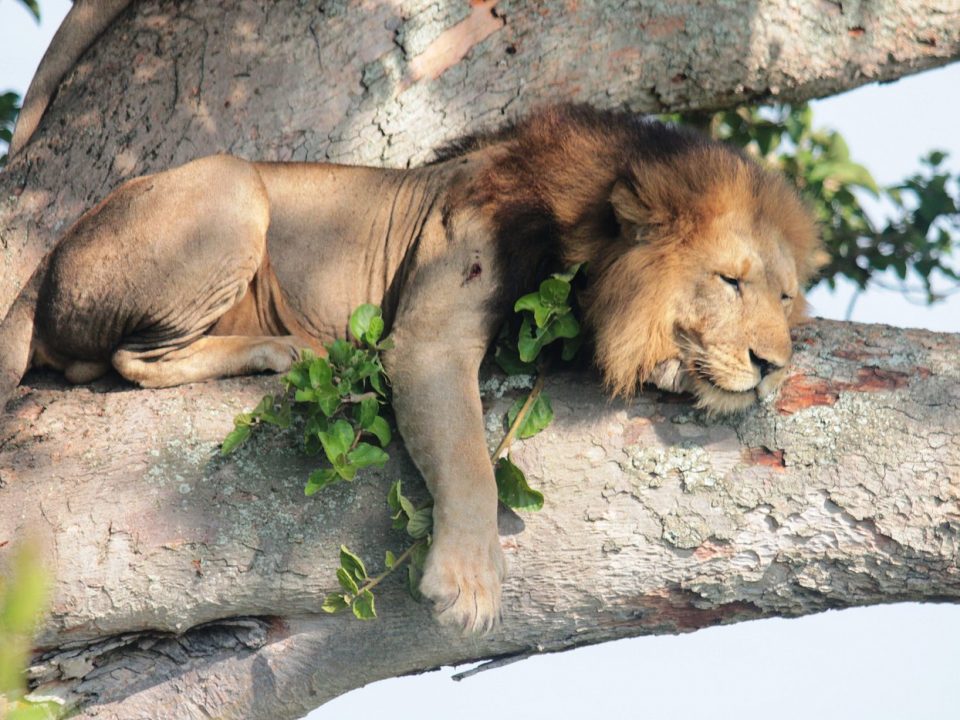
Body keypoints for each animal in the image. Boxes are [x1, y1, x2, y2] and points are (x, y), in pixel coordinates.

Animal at [0, 104, 824, 632]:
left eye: (784, 296)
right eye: (729, 280)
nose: (773, 364)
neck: (586, 244)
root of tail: (44, 265)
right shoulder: (430, 334)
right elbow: (468, 460)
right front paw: (468, 583)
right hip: (233, 184)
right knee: (127, 360)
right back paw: (283, 348)